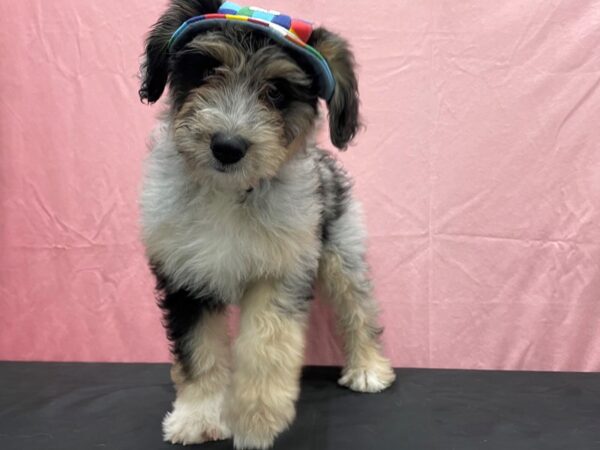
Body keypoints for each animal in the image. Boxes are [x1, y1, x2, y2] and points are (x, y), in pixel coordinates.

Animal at [138, 1, 396, 448]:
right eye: (207, 70)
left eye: (276, 92)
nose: (227, 147)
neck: (228, 193)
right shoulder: (184, 279)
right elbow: (199, 351)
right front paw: (198, 415)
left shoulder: (280, 272)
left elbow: (265, 346)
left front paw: (255, 422)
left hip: (341, 250)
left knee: (358, 307)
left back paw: (367, 367)